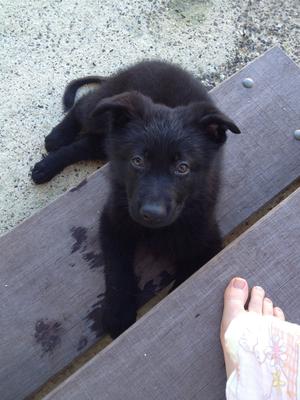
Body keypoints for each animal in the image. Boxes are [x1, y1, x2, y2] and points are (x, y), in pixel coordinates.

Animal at [31, 61, 240, 338]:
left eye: (183, 167)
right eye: (137, 161)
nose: (151, 213)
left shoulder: (205, 241)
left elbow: (184, 278)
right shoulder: (113, 221)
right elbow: (117, 270)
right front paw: (118, 313)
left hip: (110, 138)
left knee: (88, 144)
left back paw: (49, 162)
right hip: (103, 114)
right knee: (83, 105)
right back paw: (57, 138)